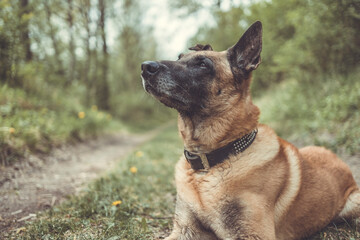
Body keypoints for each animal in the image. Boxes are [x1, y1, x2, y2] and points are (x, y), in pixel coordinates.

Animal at [140, 21, 360, 239]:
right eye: (179, 58)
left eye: (203, 65)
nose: (145, 67)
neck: (208, 166)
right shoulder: (184, 229)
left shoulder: (253, 234)